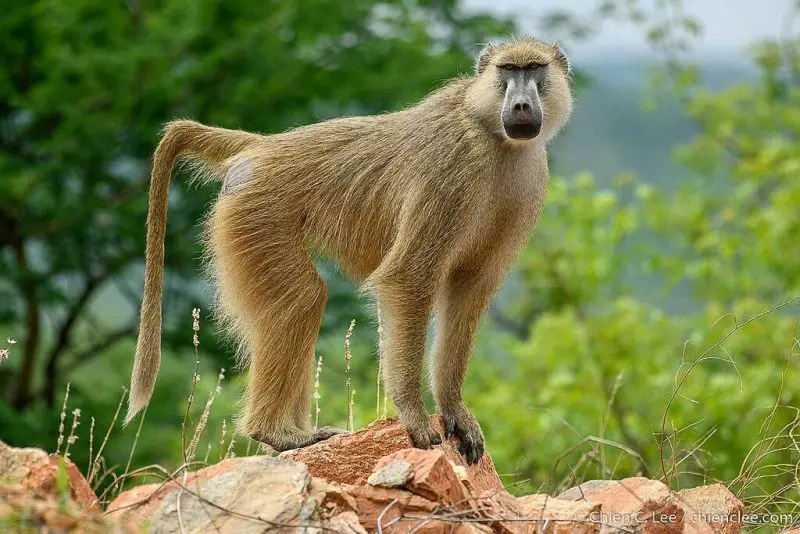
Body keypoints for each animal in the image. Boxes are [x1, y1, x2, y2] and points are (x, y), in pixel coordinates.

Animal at [125, 36, 573, 465]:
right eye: (508, 70)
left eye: (534, 69)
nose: (520, 105)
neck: (492, 134)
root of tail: (262, 147)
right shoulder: (453, 169)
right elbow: (407, 277)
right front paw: (414, 415)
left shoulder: (527, 184)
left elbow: (469, 288)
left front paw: (454, 410)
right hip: (257, 212)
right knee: (302, 299)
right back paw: (279, 434)